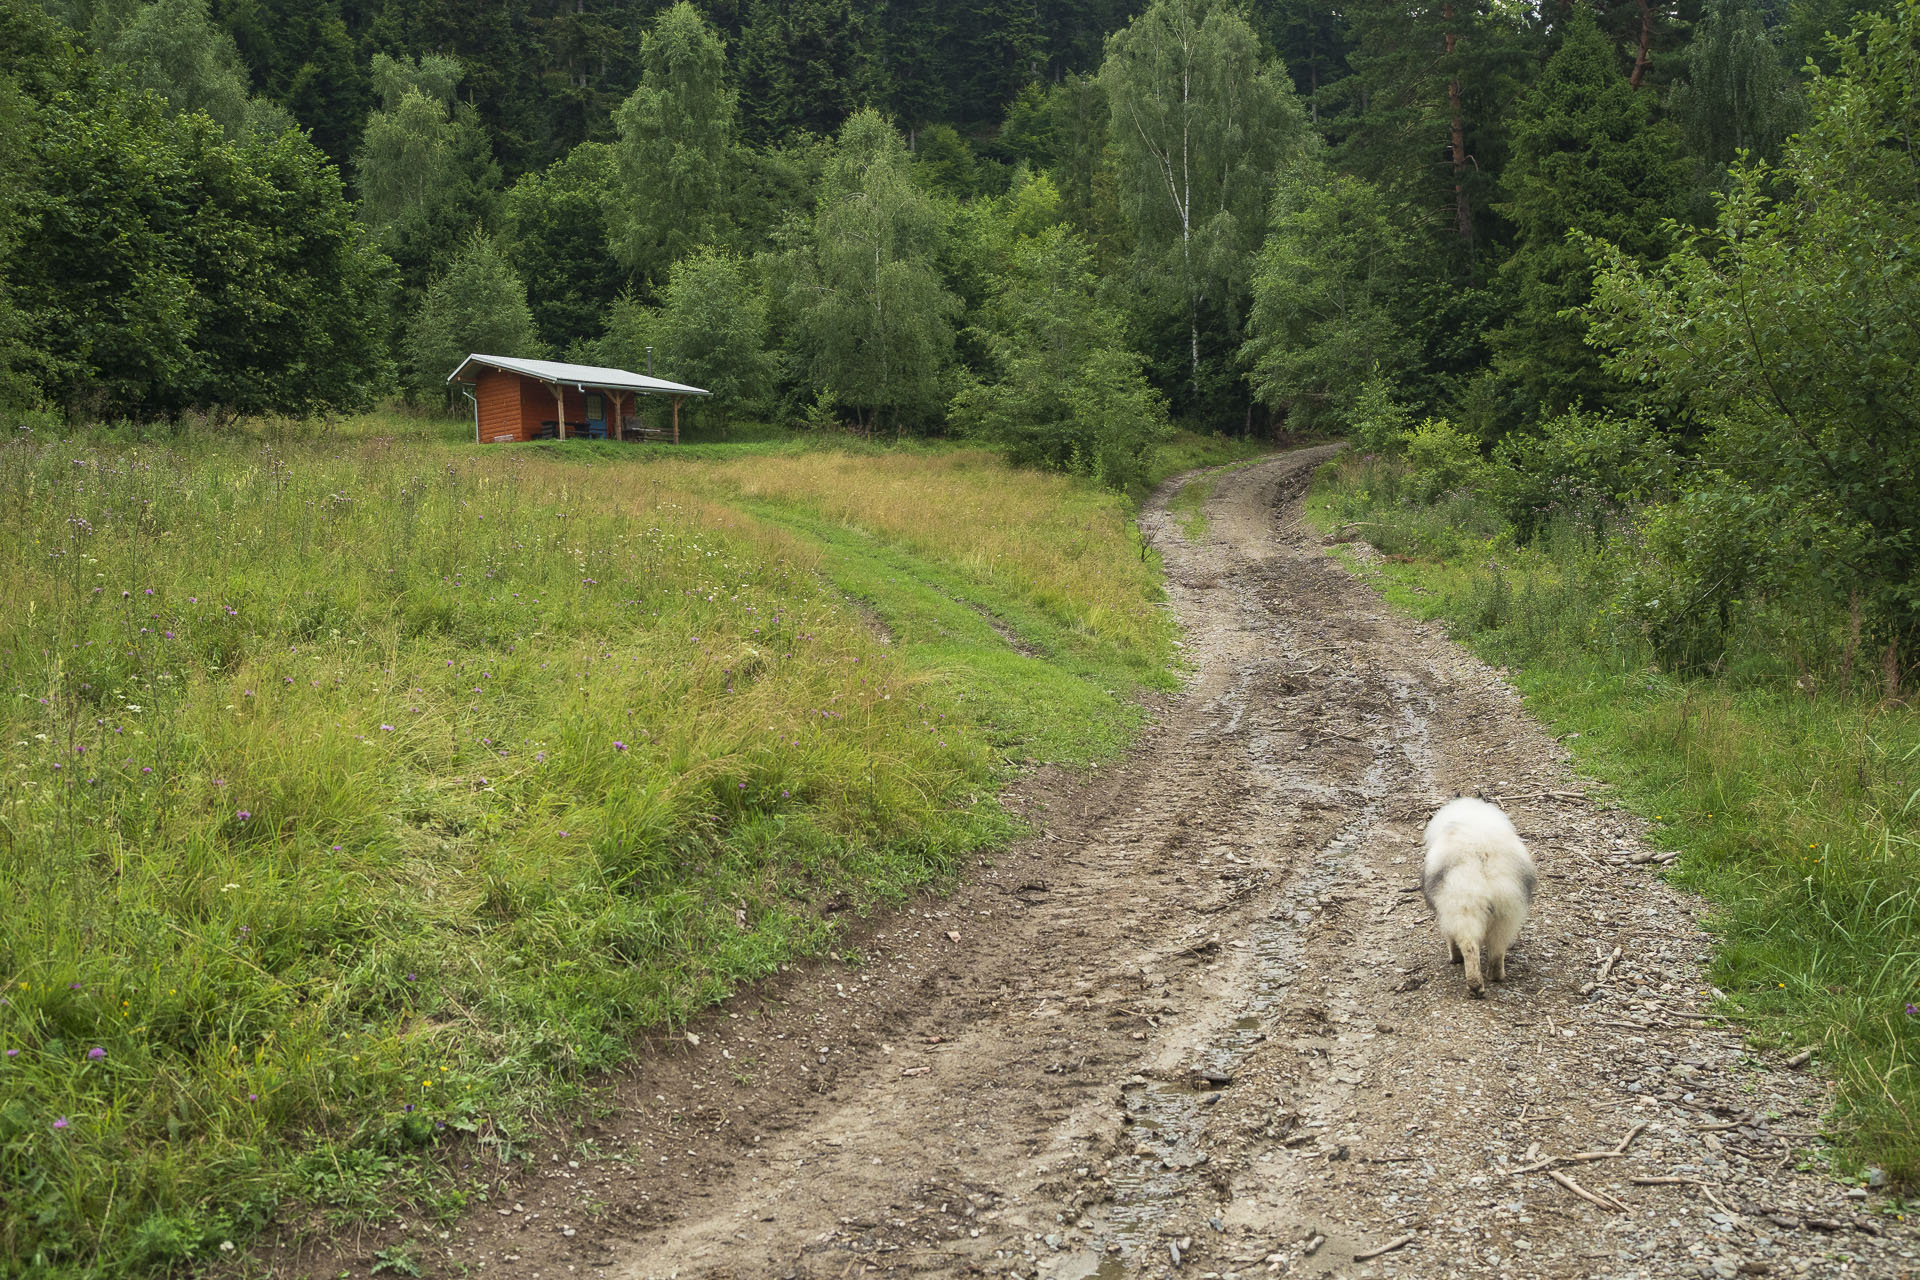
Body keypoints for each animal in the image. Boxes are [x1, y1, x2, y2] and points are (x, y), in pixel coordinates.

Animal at [1420, 802, 1536, 997]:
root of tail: (1483, 856)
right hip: (1506, 913)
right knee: (1497, 948)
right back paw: (1495, 975)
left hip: (1464, 908)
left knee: (1469, 946)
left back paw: (1474, 984)